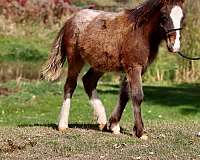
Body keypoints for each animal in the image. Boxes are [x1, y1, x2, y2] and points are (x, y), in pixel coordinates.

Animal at [40, 0, 184, 139]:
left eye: (182, 18)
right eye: (164, 16)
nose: (174, 46)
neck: (140, 33)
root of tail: (70, 20)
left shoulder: (138, 69)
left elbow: (125, 94)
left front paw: (114, 125)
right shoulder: (134, 67)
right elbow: (137, 95)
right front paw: (140, 132)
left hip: (100, 64)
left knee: (88, 81)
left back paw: (102, 121)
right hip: (75, 59)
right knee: (70, 85)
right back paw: (63, 124)